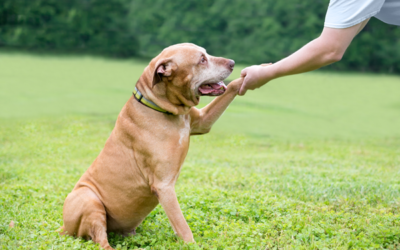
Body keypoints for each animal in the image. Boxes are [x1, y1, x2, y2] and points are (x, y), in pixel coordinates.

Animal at [60, 43, 242, 248]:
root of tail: (64, 227)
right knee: (101, 240)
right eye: (202, 59)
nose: (233, 62)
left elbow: (230, 89)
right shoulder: (164, 186)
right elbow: (183, 227)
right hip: (89, 198)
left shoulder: (203, 121)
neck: (161, 107)